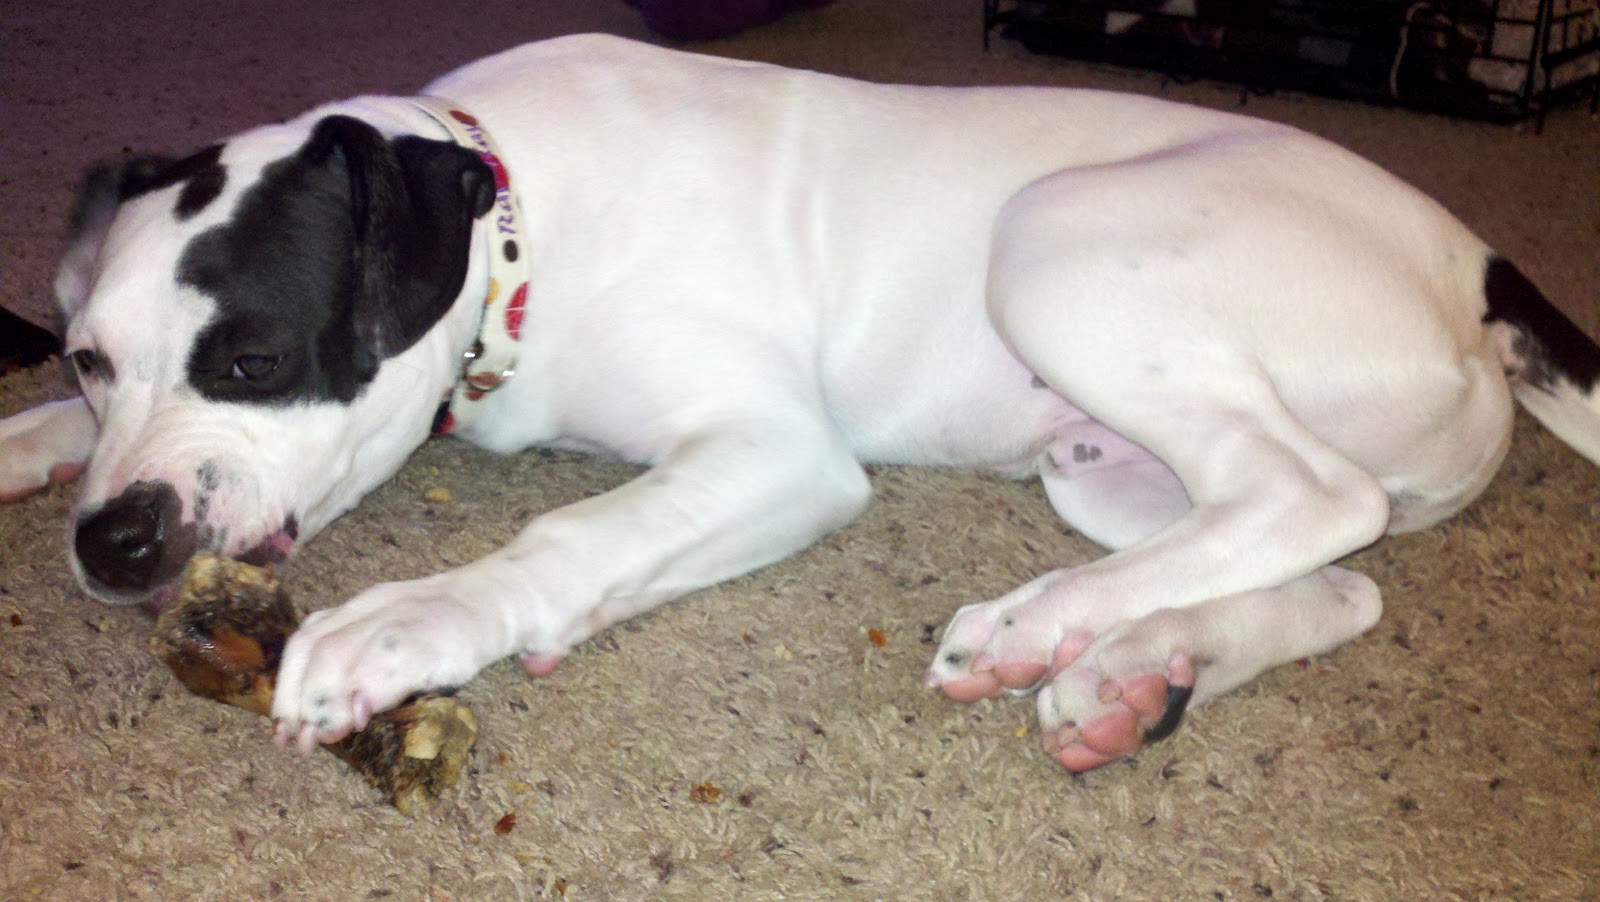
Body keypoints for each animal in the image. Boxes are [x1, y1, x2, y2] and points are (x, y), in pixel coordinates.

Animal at [0, 35, 1593, 773]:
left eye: (254, 361)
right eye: (85, 355)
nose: (115, 549)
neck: (517, 217)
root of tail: (1478, 265)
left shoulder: (780, 455)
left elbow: (572, 533)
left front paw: (409, 623)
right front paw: (29, 438)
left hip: (1057, 244)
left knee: (1310, 496)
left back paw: (1031, 622)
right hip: (1101, 463)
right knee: (1331, 570)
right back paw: (1125, 665)